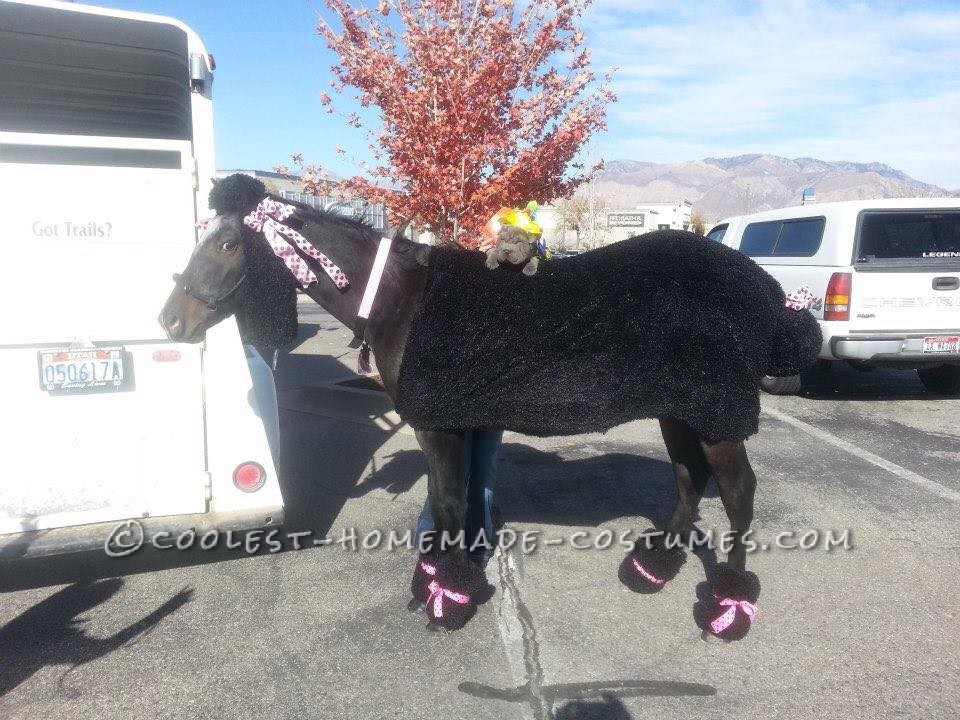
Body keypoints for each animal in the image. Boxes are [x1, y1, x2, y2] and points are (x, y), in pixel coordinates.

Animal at [161, 174, 820, 640]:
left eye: (227, 243)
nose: (170, 320)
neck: (403, 298)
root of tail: (766, 290)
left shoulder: (439, 425)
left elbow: (452, 504)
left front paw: (446, 600)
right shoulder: (454, 424)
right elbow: (448, 502)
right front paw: (439, 580)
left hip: (716, 414)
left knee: (737, 494)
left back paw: (728, 607)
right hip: (683, 409)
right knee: (689, 480)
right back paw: (653, 569)